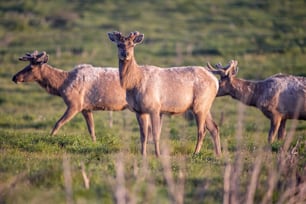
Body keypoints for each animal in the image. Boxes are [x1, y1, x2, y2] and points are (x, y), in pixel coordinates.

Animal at [12, 50, 151, 142]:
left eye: (30, 68)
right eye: (26, 65)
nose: (14, 77)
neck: (61, 86)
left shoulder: (75, 104)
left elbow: (58, 123)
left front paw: (49, 137)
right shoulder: (86, 108)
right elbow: (91, 129)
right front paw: (95, 143)